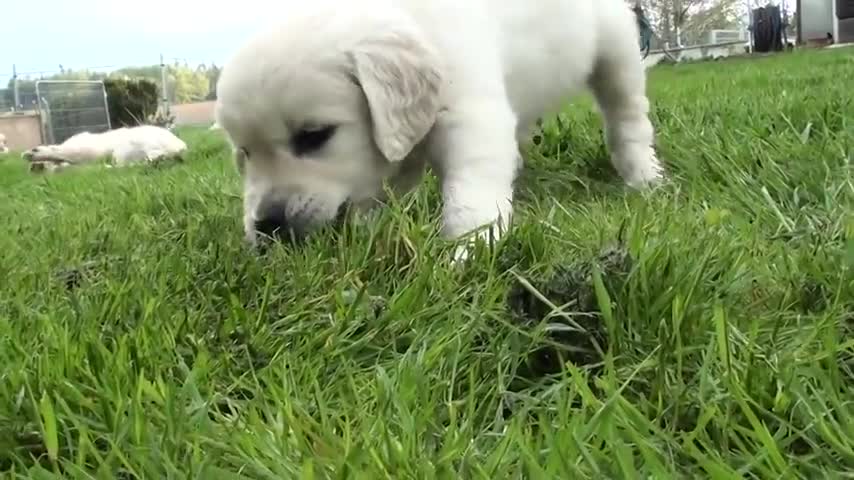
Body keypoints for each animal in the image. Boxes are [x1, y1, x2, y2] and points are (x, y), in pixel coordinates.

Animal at [216, 0, 668, 258]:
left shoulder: (469, 115)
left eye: (314, 136)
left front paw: (469, 252)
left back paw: (646, 175)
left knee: (627, 117)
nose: (267, 225)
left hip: (615, 49)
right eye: (245, 154)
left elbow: (470, 195)